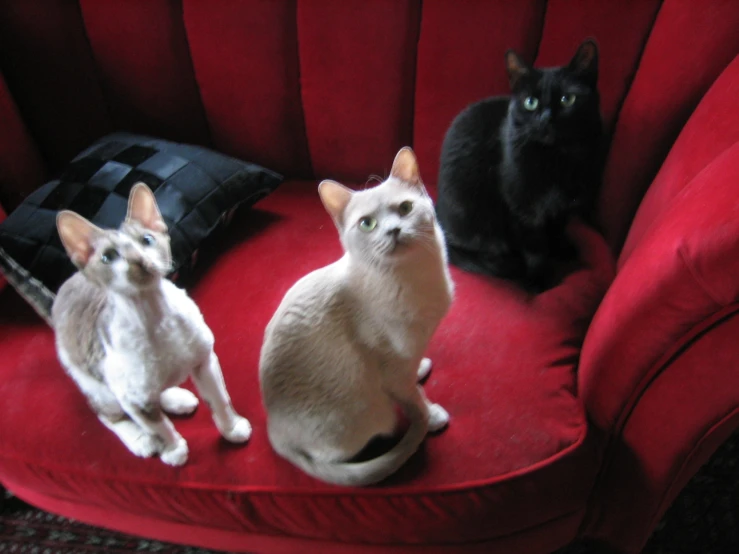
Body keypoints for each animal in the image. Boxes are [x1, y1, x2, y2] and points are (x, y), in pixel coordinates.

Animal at [51, 183, 251, 464]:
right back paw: (140, 439)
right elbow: (159, 426)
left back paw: (176, 397)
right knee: (109, 414)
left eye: (146, 240)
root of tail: (62, 289)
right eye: (108, 257)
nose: (138, 260)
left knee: (153, 395)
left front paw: (232, 428)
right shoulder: (130, 395)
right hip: (98, 385)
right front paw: (174, 450)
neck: (157, 319)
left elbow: (219, 398)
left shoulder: (204, 360)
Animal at [260, 147, 456, 484]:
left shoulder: (408, 359)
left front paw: (422, 370)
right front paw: (431, 417)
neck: (417, 277)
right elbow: (416, 400)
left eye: (405, 208)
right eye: (367, 224)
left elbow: (414, 378)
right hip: (373, 411)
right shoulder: (394, 370)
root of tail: (274, 434)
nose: (393, 230)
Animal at [436, 38, 604, 292]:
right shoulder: (523, 210)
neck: (556, 158)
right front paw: (538, 280)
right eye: (530, 103)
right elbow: (535, 248)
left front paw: (561, 248)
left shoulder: (564, 206)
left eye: (568, 99)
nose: (546, 118)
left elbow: (558, 228)